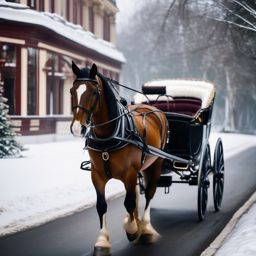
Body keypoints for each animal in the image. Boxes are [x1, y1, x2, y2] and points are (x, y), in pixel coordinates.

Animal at [70, 62, 169, 256]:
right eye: (72, 91)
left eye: (94, 92)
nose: (78, 128)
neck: (109, 136)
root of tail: (153, 107)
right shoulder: (97, 175)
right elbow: (102, 205)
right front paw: (102, 241)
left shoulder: (129, 174)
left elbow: (129, 203)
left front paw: (133, 229)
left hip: (155, 165)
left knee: (149, 194)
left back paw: (146, 229)